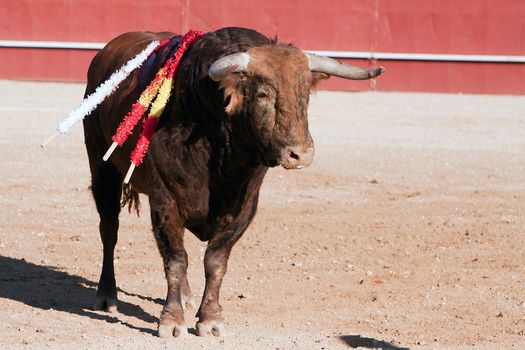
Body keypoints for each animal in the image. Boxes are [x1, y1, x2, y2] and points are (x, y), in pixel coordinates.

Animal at [83, 26, 384, 338]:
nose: (300, 153)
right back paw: (107, 296)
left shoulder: (245, 204)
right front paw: (172, 321)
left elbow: (215, 261)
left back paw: (187, 297)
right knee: (109, 230)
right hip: (101, 167)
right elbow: (175, 259)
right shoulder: (165, 199)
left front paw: (210, 319)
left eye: (304, 93)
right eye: (263, 93)